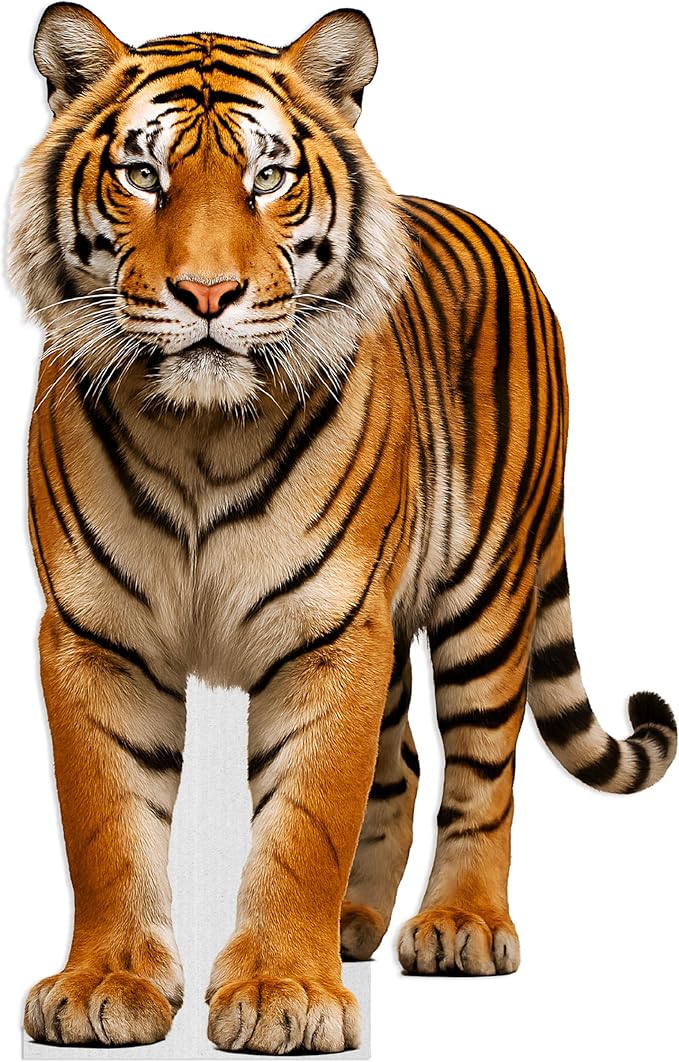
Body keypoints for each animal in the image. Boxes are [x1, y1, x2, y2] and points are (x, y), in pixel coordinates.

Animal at [9, 1, 676, 1054]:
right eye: (142, 175)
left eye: (268, 178)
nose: (207, 295)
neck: (199, 431)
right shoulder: (92, 635)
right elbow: (106, 824)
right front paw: (103, 984)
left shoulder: (331, 638)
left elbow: (304, 826)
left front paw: (282, 990)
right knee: (399, 766)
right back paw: (357, 923)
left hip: (485, 599)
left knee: (483, 770)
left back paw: (461, 926)